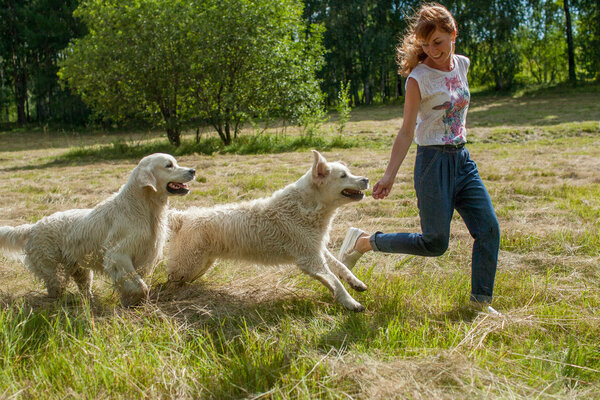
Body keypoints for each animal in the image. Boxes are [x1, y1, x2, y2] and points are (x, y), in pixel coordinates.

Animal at [0, 153, 195, 306]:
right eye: (169, 165)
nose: (193, 170)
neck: (142, 207)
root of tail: (33, 226)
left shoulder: (145, 256)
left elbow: (136, 283)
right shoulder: (118, 255)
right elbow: (140, 286)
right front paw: (135, 300)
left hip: (82, 271)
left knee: (84, 288)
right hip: (51, 268)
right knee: (55, 288)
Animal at [166, 152, 368, 310]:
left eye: (349, 173)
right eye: (343, 176)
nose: (366, 179)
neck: (306, 206)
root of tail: (183, 216)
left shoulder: (316, 249)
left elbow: (340, 267)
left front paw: (356, 283)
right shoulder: (310, 260)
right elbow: (335, 281)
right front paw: (351, 303)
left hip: (201, 265)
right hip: (187, 266)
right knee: (169, 281)